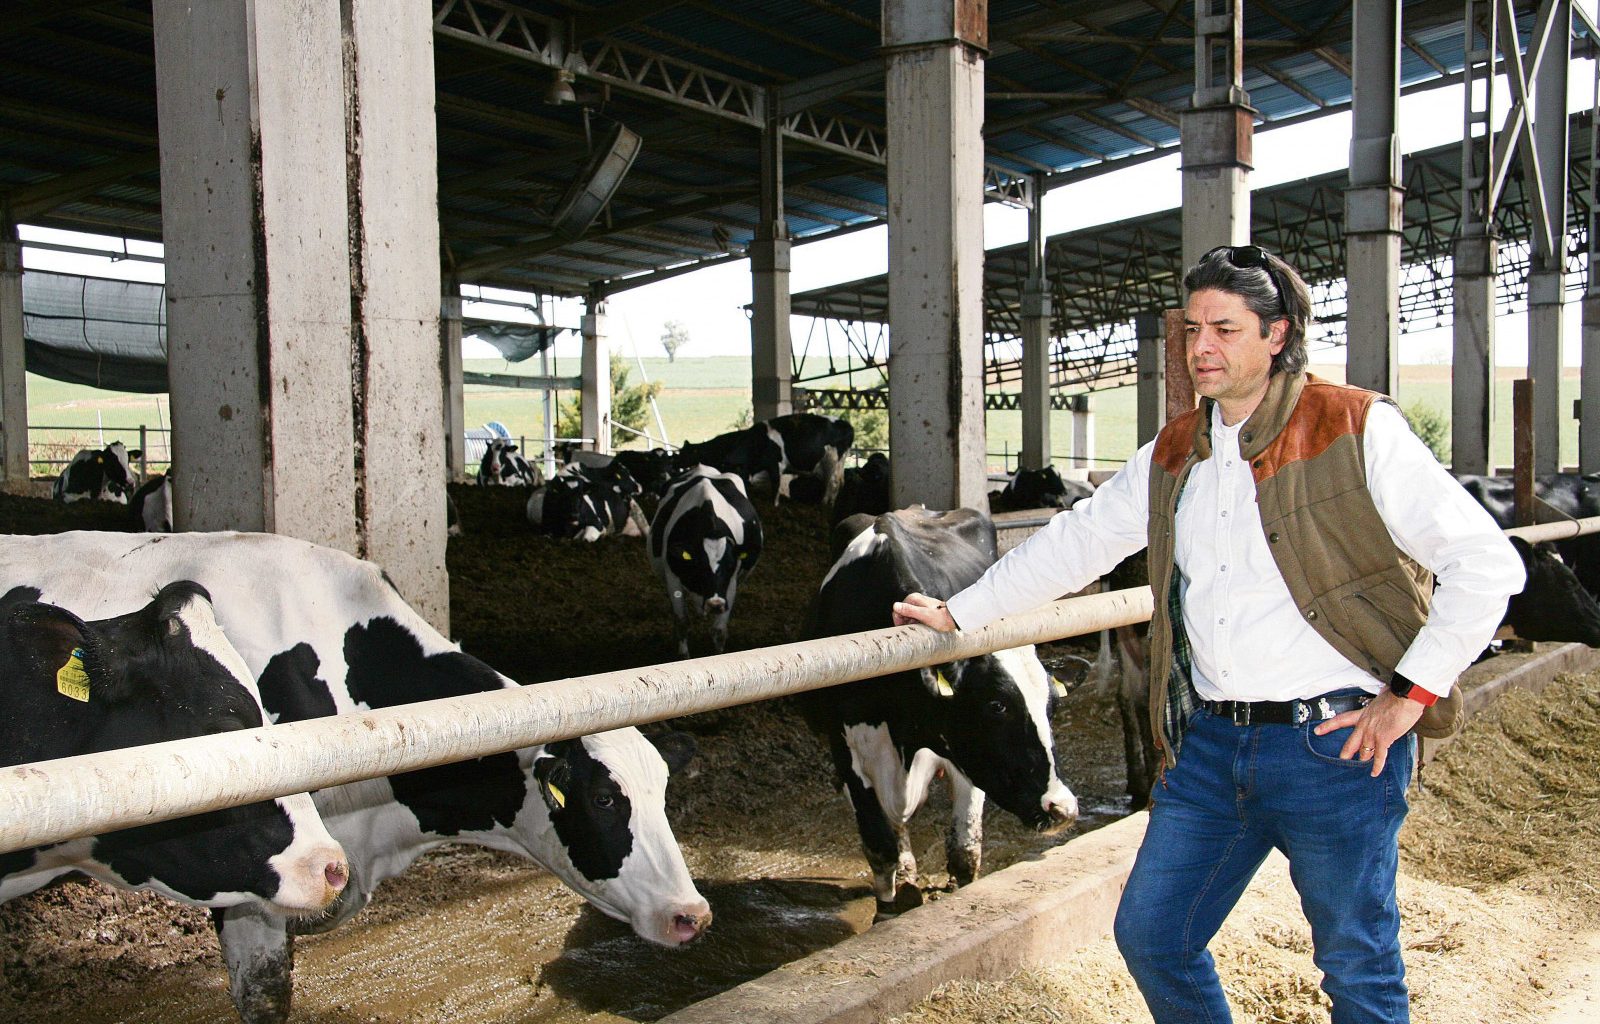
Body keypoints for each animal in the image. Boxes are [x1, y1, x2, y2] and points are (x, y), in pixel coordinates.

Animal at [656, 467, 768, 656]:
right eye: (699, 566)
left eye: (730, 566)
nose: (715, 604)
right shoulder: (672, 577)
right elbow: (682, 622)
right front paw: (684, 656)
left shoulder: (730, 585)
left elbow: (719, 631)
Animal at [800, 508, 1075, 915]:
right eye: (996, 705)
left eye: (1052, 706)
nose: (1062, 808)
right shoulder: (846, 750)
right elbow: (880, 847)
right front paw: (887, 911)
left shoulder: (963, 756)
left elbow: (965, 849)